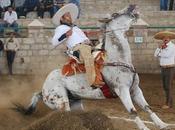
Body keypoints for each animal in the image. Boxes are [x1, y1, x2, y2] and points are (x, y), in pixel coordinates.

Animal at [14, 4, 172, 130]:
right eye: (115, 14)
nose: (132, 6)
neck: (117, 59)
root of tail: (43, 90)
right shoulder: (122, 90)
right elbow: (133, 111)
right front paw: (145, 128)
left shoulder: (135, 90)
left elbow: (147, 108)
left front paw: (162, 124)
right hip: (61, 101)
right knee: (64, 115)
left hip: (76, 101)